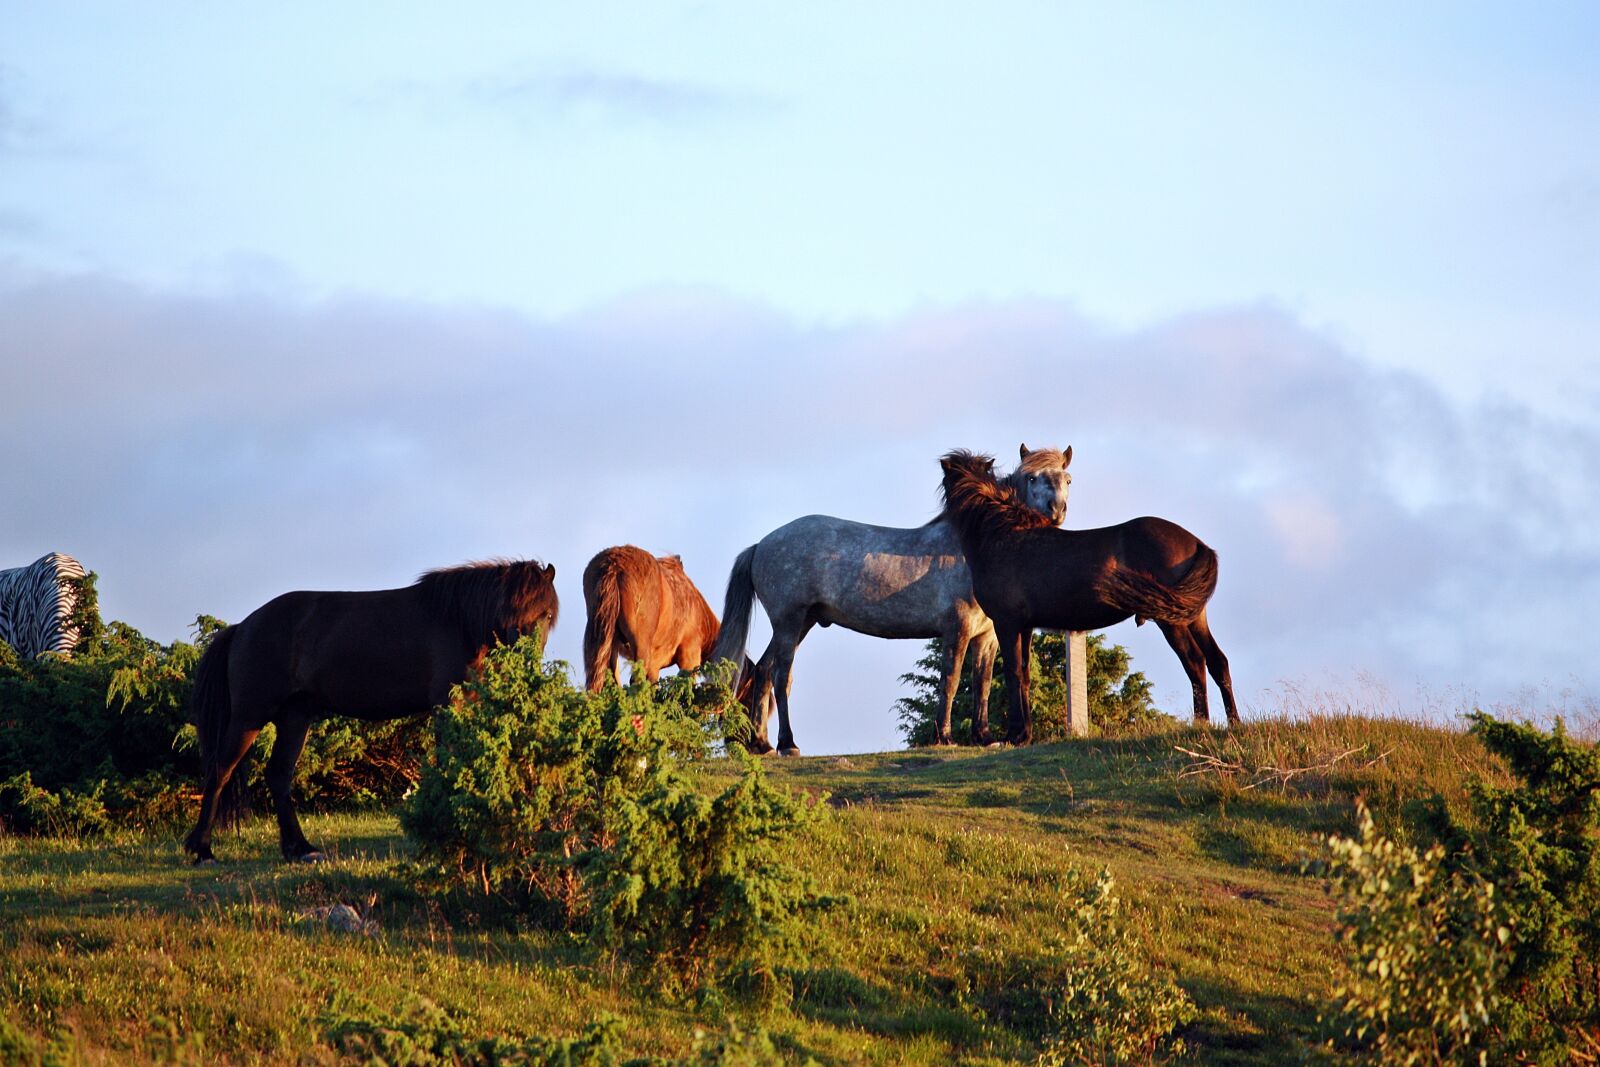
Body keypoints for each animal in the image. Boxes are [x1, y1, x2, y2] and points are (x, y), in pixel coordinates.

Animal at [182, 559, 559, 863]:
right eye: (508, 611)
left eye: (545, 614)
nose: (524, 657)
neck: (458, 623)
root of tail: (242, 627)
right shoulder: (446, 705)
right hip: (249, 717)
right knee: (219, 771)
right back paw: (202, 850)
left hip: (294, 718)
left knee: (279, 776)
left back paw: (300, 849)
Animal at [712, 445, 1073, 755]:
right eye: (1031, 477)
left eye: (1067, 478)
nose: (1057, 511)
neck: (974, 545)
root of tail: (760, 545)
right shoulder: (957, 628)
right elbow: (951, 680)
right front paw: (944, 736)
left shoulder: (986, 635)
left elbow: (981, 683)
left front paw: (984, 737)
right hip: (789, 621)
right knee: (781, 676)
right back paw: (788, 744)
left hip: (802, 623)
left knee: (763, 670)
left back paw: (761, 743)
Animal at [939, 450, 1237, 742]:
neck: (1001, 535)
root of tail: (1197, 543)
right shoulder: (1025, 626)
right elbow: (1024, 673)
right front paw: (1025, 733)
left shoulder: (1007, 623)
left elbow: (1012, 672)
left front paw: (1014, 734)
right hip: (1194, 616)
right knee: (1217, 661)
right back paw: (1233, 722)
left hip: (1171, 621)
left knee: (1195, 662)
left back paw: (1201, 723)